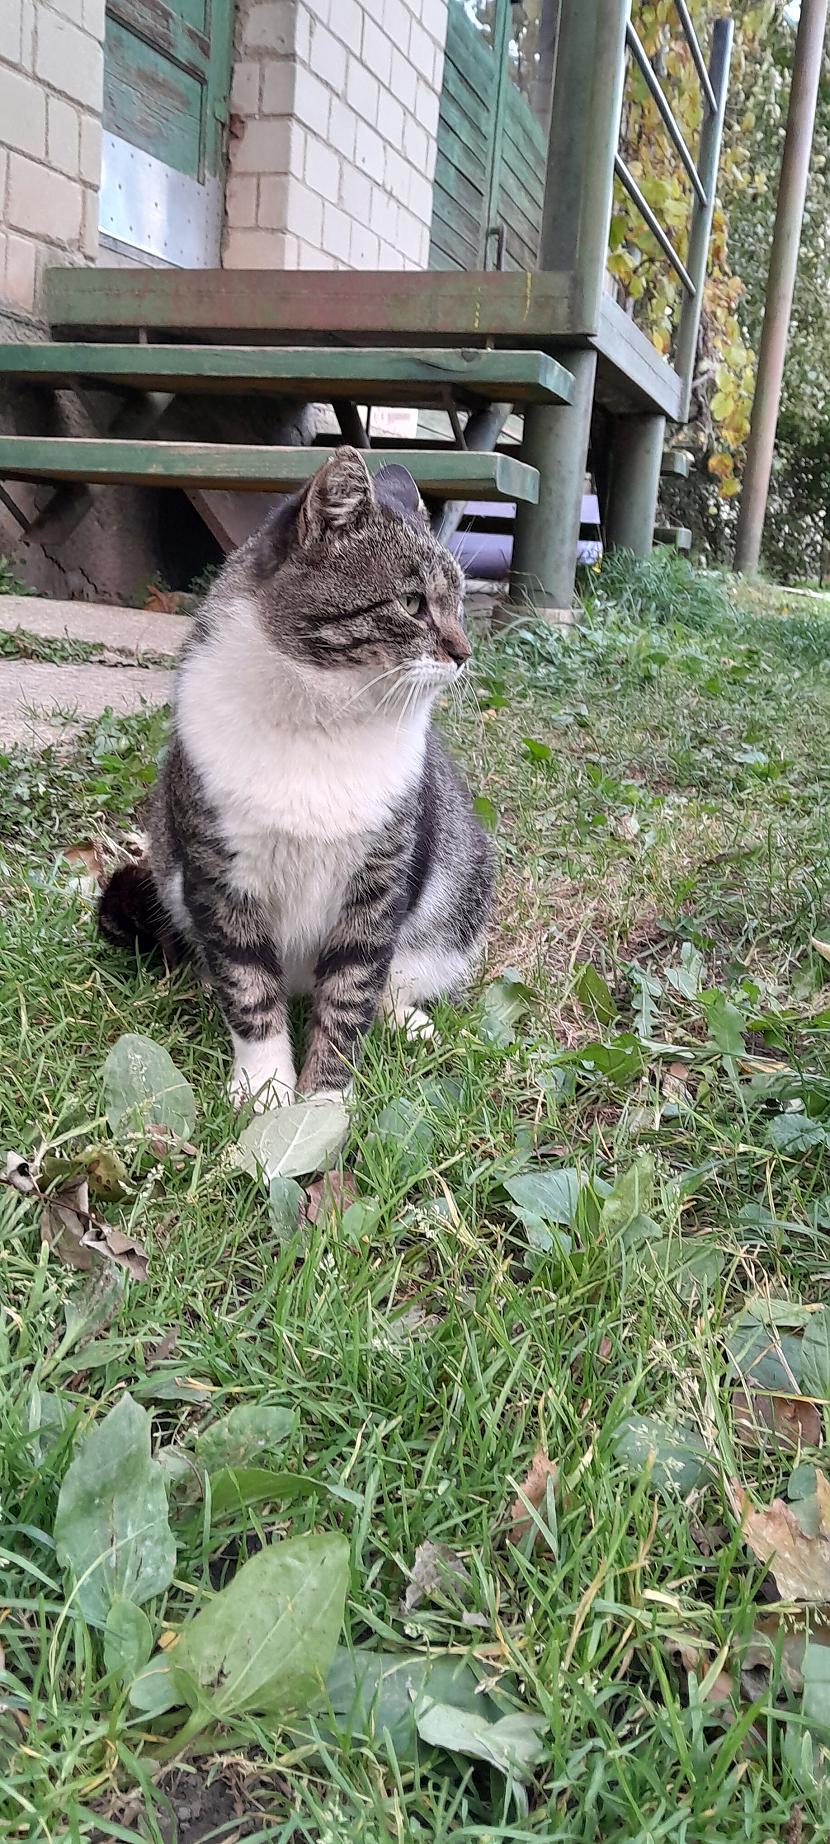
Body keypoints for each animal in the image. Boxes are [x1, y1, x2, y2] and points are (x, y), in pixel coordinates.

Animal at [100, 446, 494, 1106]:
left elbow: (353, 992)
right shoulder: (223, 877)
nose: (464, 653)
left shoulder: (378, 886)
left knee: (397, 976)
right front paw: (265, 1088)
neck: (323, 722)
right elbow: (249, 986)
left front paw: (325, 1101)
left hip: (457, 894)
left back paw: (405, 1019)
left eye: (461, 604)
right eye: (413, 602)